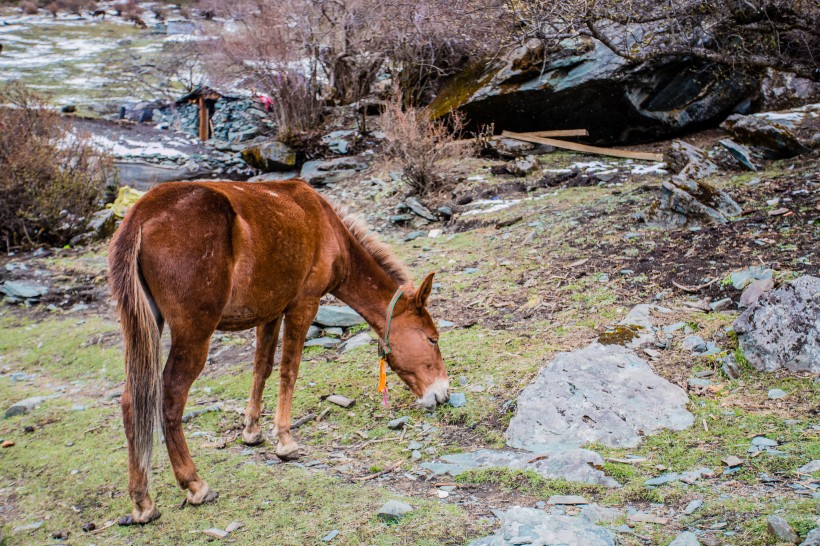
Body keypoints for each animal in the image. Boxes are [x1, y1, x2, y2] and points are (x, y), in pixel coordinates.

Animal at [108, 178, 448, 524]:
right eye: (432, 339)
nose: (443, 393)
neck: (327, 226)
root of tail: (141, 214)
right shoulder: (303, 305)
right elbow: (289, 369)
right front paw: (285, 440)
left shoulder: (270, 312)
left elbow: (262, 368)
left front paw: (252, 430)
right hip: (193, 334)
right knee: (171, 398)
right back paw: (194, 484)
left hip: (143, 328)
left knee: (131, 400)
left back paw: (142, 501)